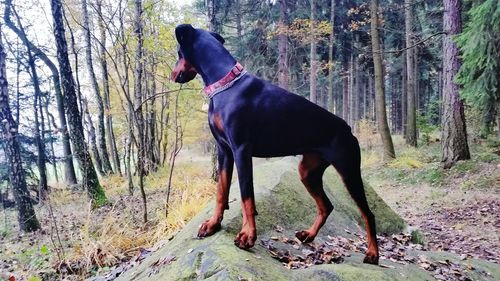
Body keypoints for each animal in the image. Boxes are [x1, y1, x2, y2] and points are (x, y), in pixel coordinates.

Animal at [172, 23, 378, 262]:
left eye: (179, 54)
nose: (172, 74)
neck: (225, 84)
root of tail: (348, 129)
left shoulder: (241, 150)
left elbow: (246, 196)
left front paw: (247, 235)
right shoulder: (224, 150)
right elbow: (221, 191)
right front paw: (213, 225)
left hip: (349, 170)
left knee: (368, 213)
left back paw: (373, 253)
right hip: (308, 170)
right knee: (326, 206)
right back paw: (308, 235)